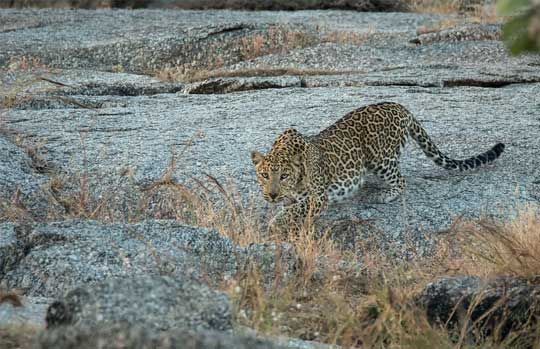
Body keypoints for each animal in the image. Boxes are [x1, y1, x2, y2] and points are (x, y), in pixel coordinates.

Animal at [251, 100, 504, 234]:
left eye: (284, 175)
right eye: (264, 175)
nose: (272, 195)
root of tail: (401, 107)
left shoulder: (318, 196)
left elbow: (296, 210)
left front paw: (278, 222)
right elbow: (293, 208)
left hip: (380, 158)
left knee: (401, 181)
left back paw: (384, 195)